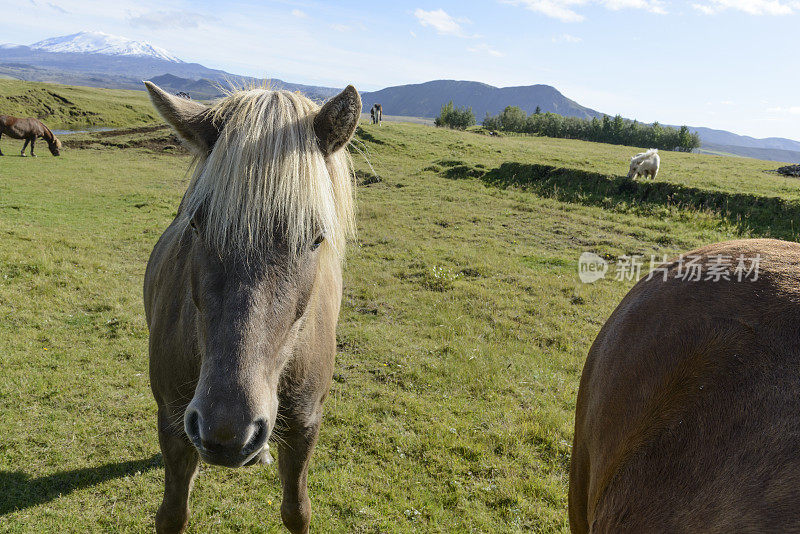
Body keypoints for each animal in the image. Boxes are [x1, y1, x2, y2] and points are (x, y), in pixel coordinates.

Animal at [141, 80, 360, 534]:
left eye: (316, 237)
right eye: (196, 223)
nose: (227, 432)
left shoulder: (306, 427)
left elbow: (297, 510)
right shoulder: (171, 423)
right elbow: (172, 514)